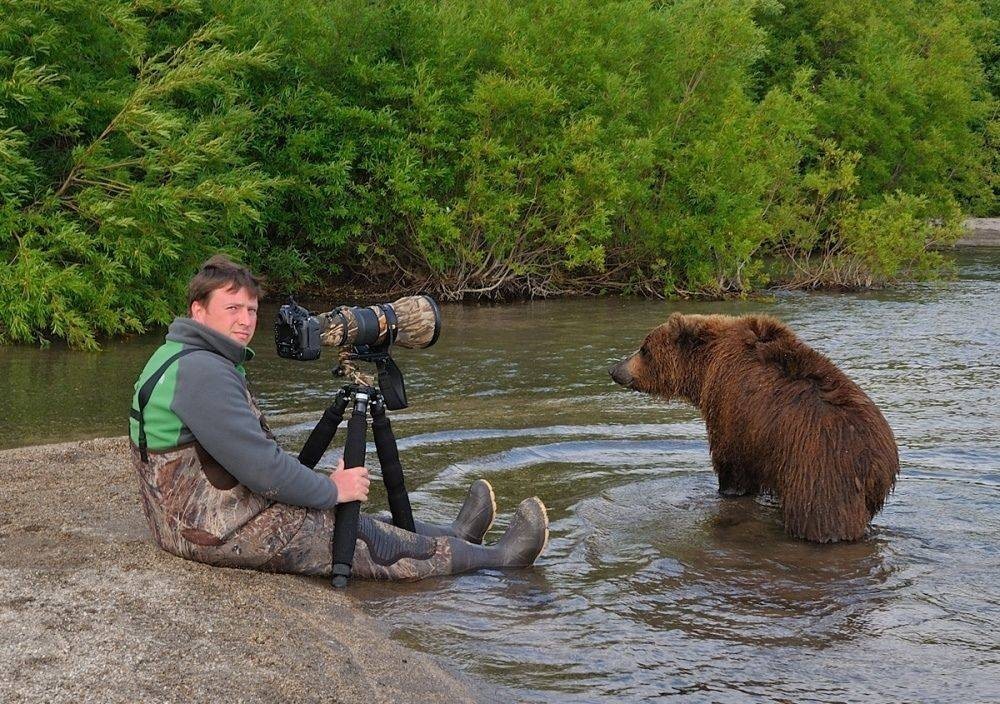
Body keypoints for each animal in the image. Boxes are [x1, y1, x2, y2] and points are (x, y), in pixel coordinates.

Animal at [609, 313, 899, 543]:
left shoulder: (730, 411)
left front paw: (728, 490)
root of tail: (874, 460)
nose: (614, 369)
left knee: (822, 520)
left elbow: (731, 465)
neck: (705, 366)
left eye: (644, 349)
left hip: (821, 472)